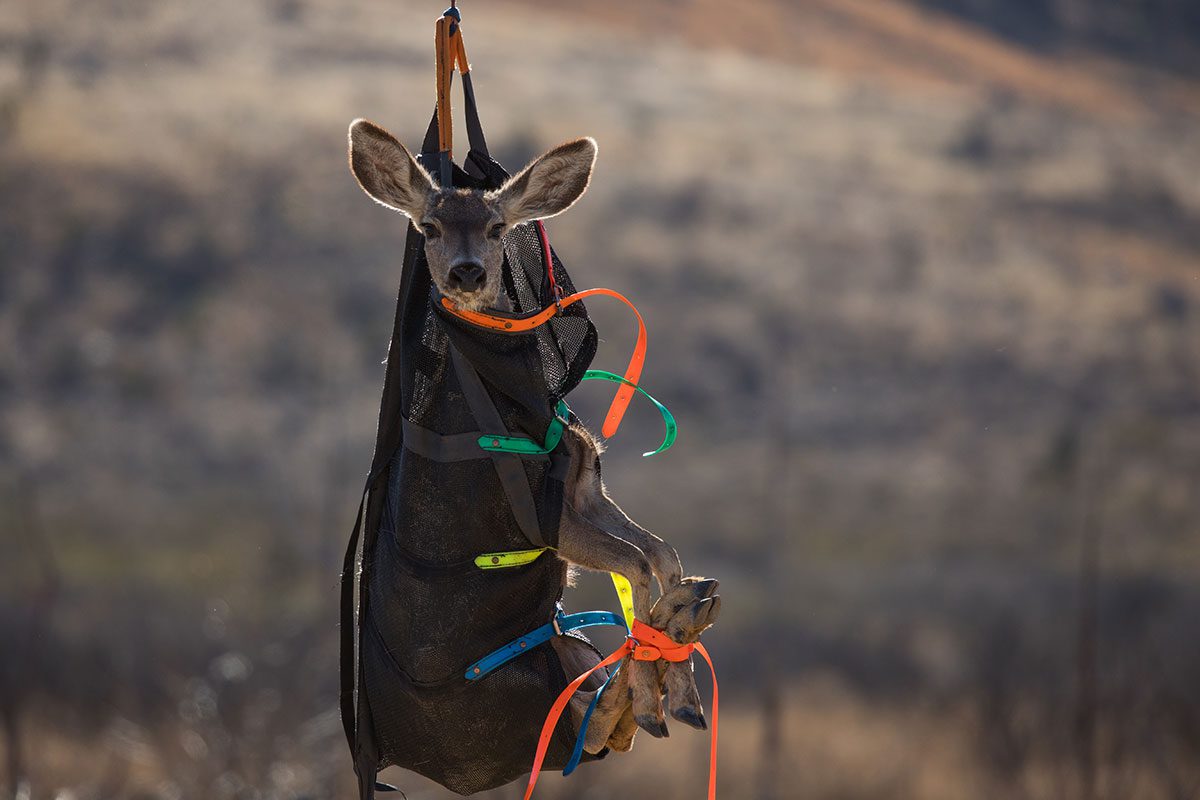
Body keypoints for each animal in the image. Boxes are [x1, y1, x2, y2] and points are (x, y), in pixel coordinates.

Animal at [347, 118, 721, 756]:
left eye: (498, 227)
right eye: (430, 226)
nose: (466, 272)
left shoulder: (583, 490)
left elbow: (660, 553)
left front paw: (680, 670)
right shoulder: (540, 517)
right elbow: (636, 563)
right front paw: (661, 689)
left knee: (595, 724)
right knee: (590, 724)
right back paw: (644, 699)